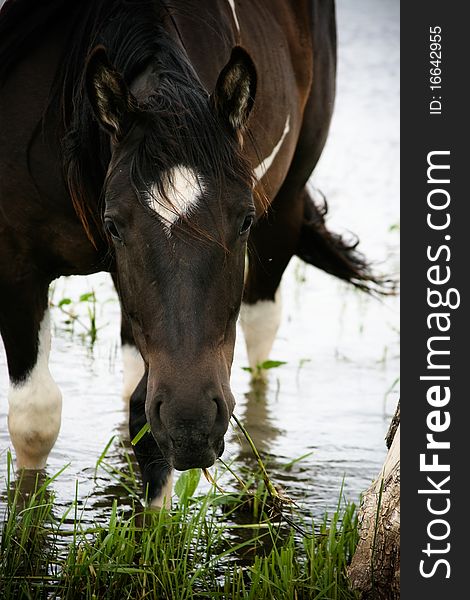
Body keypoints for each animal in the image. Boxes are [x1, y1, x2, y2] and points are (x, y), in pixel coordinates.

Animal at [0, 0, 380, 506]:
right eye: (113, 225)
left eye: (245, 220)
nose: (193, 424)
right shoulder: (14, 269)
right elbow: (35, 420)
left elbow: (145, 426)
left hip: (289, 198)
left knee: (260, 333)